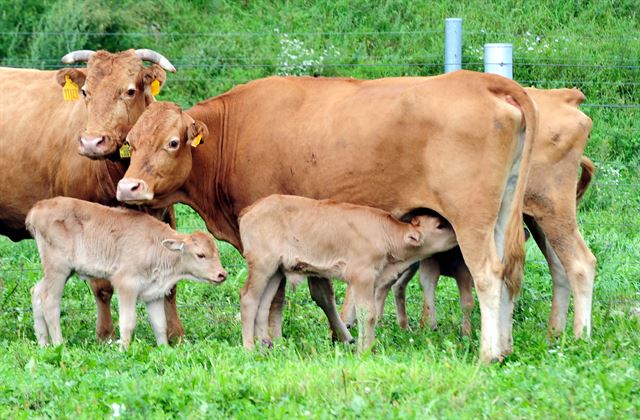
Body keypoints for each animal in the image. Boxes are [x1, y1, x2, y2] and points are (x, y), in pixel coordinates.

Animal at [0, 48, 185, 342]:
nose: (91, 142)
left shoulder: (166, 213)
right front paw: (105, 334)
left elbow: (171, 281)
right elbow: (102, 286)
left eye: (130, 90)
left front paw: (175, 334)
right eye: (86, 92)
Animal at [27, 199, 228, 350]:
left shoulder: (154, 293)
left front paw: (164, 349)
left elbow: (159, 325)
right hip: (58, 270)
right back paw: (59, 345)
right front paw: (123, 349)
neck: (157, 247)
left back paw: (43, 344)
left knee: (36, 292)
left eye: (217, 253)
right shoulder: (126, 285)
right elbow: (128, 322)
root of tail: (38, 207)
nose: (222, 275)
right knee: (49, 301)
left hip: (59, 272)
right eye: (200, 255)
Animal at [238, 195, 458, 352]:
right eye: (440, 226)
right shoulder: (362, 276)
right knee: (248, 298)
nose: (457, 234)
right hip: (262, 265)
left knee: (263, 304)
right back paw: (249, 348)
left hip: (275, 271)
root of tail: (251, 208)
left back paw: (266, 346)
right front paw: (365, 351)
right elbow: (367, 314)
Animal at [372, 88, 596, 338]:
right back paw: (553, 334)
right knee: (559, 267)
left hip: (552, 209)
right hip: (538, 217)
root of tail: (564, 95)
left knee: (581, 264)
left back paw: (579, 336)